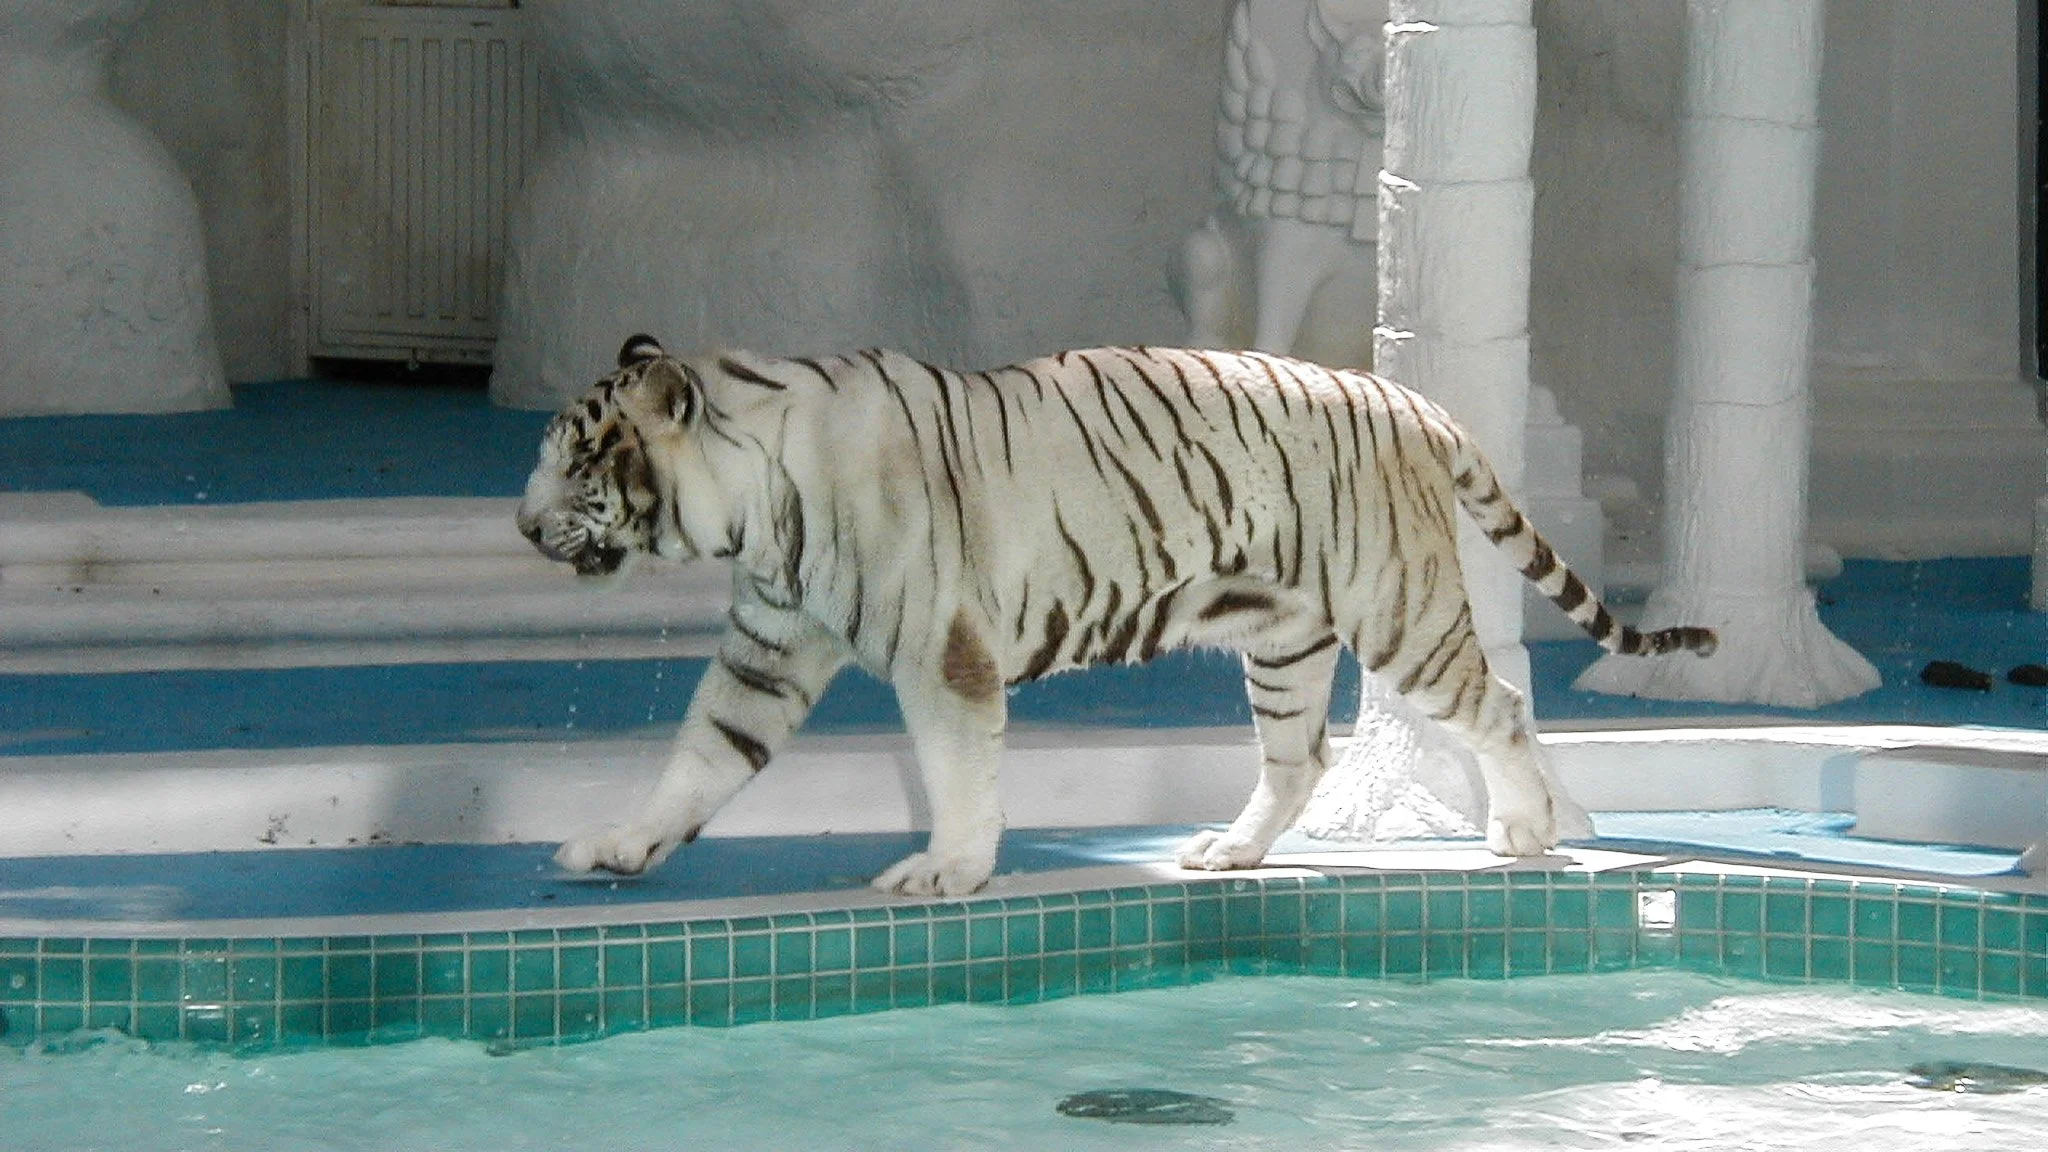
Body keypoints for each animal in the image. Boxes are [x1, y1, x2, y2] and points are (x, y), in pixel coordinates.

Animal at [518, 334, 1715, 897]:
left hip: (1399, 610)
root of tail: (1405, 395)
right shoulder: (767, 650)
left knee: (1501, 701)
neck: (754, 509)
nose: (523, 528)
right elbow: (699, 758)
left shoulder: (942, 655)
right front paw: (622, 846)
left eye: (579, 463)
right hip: (1283, 641)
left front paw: (948, 871)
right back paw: (1230, 853)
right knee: (1298, 758)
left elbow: (958, 774)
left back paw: (1525, 831)